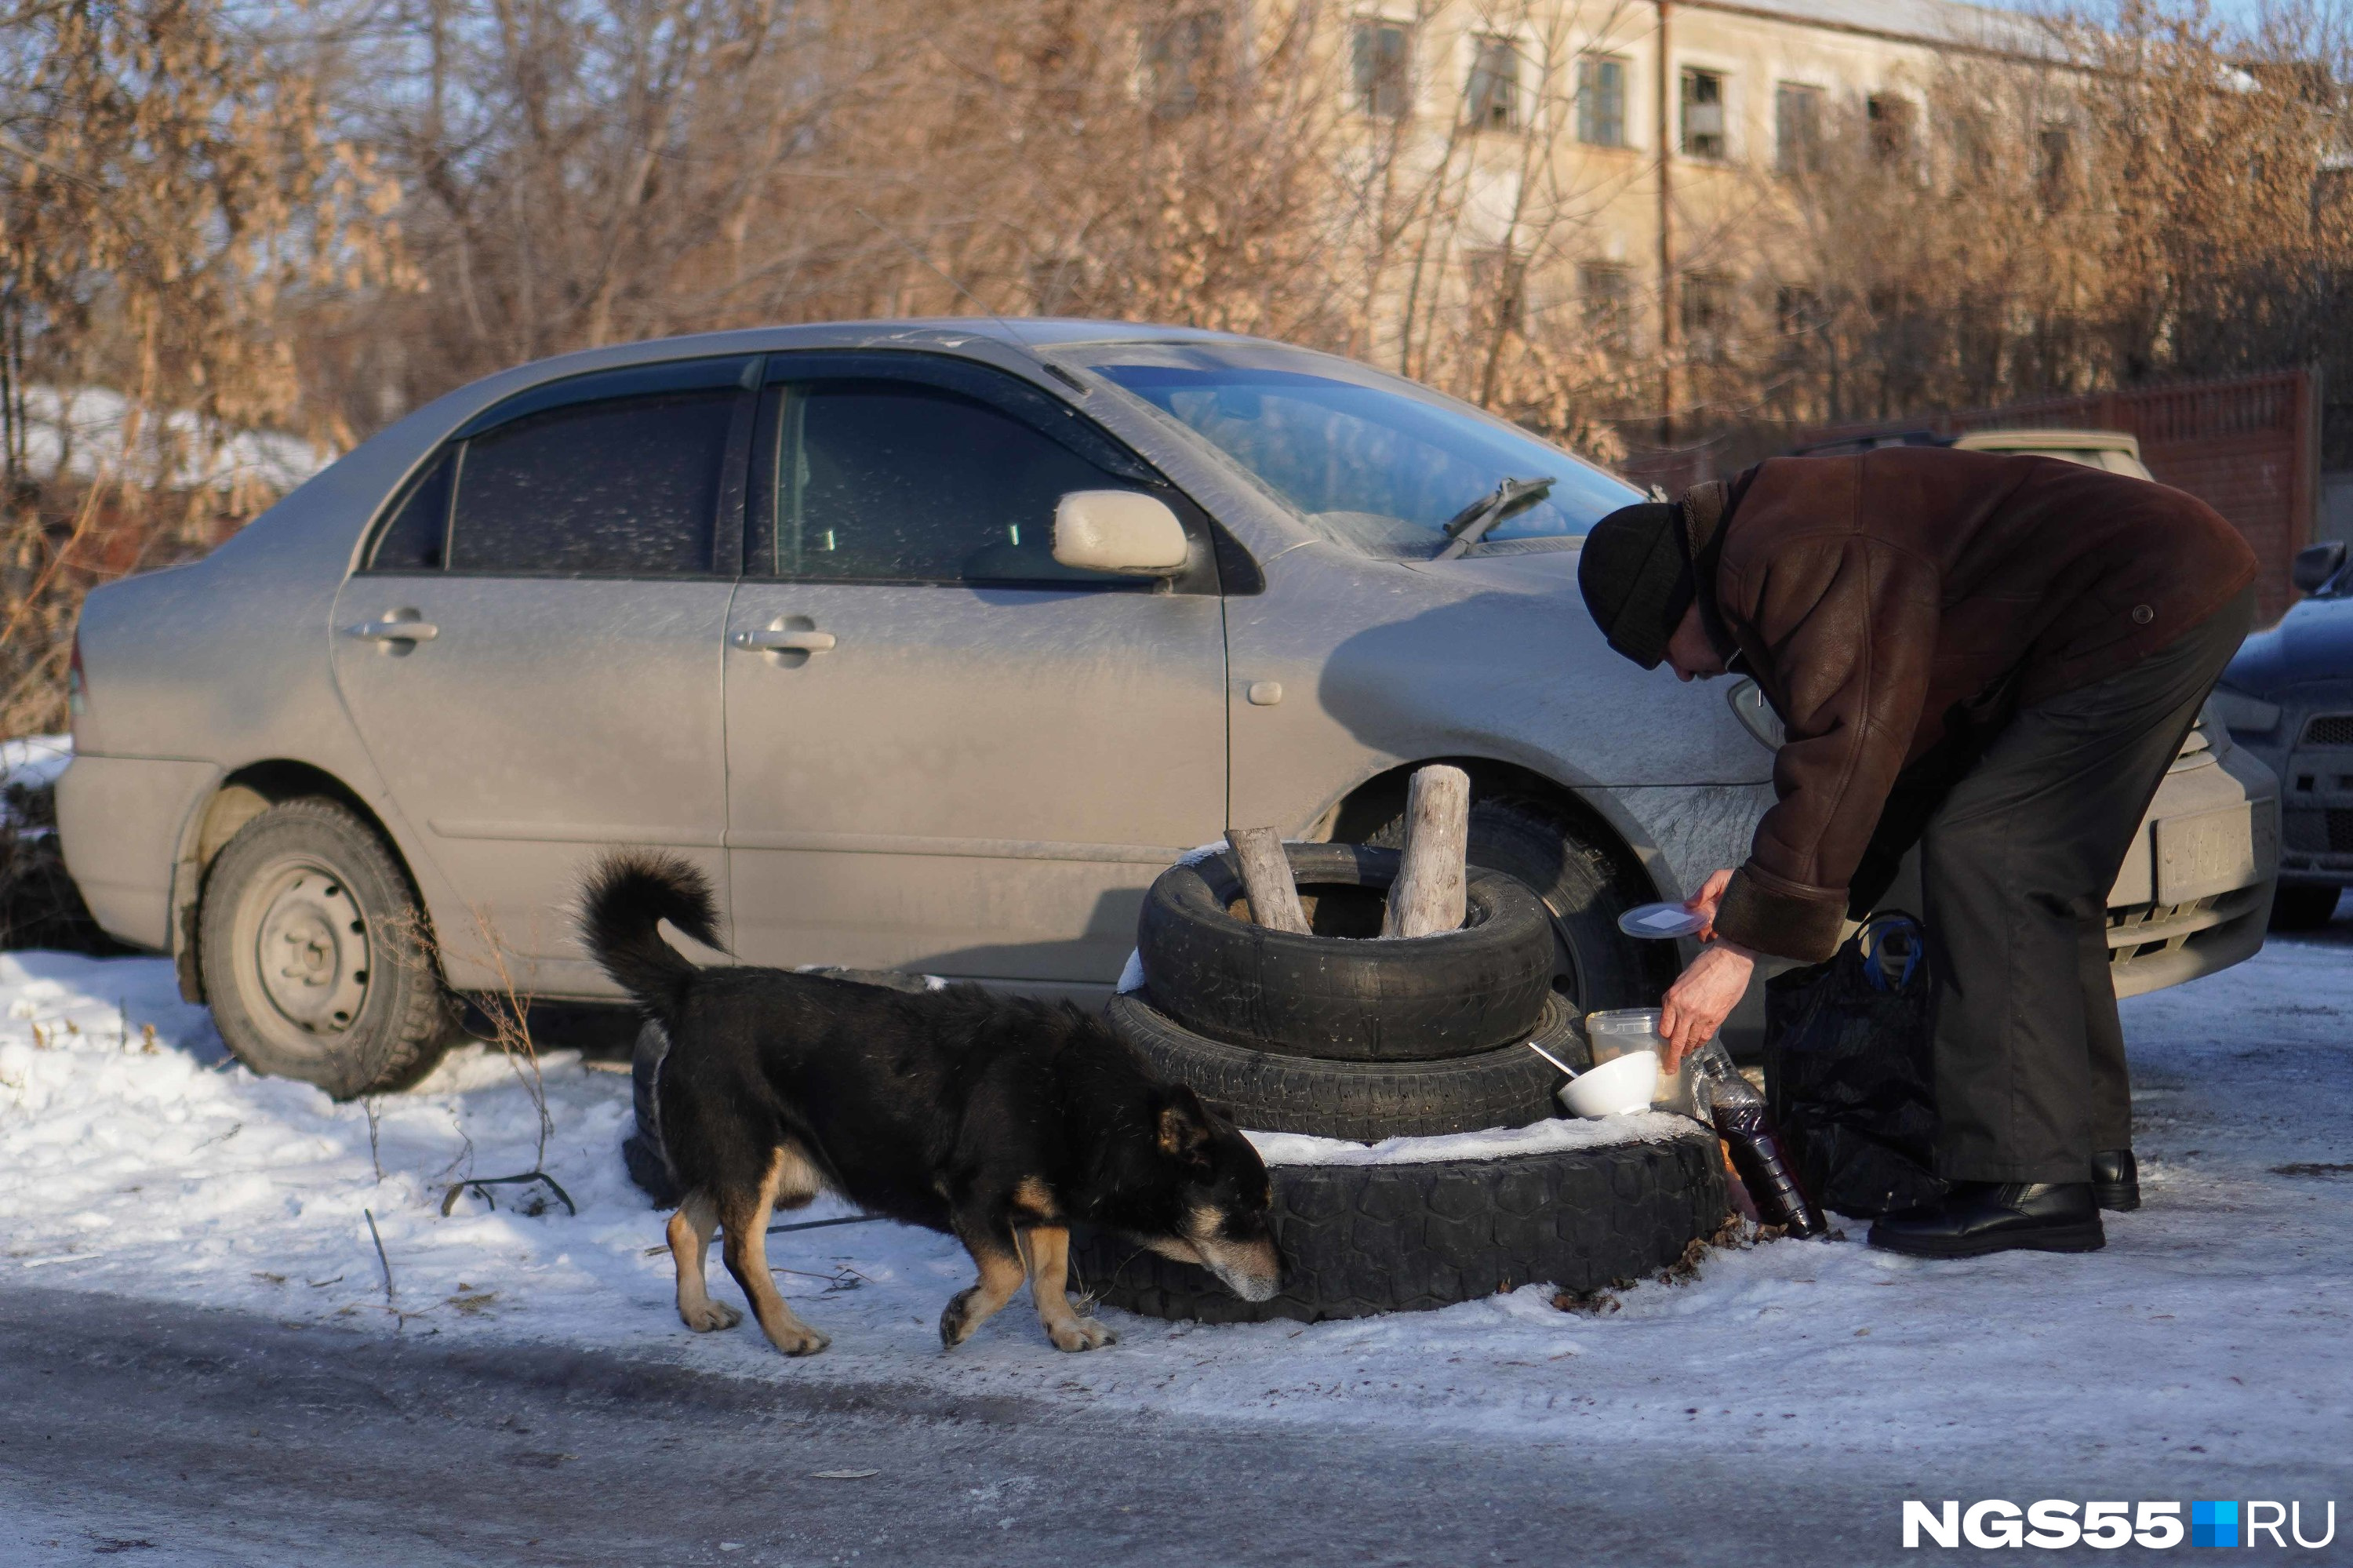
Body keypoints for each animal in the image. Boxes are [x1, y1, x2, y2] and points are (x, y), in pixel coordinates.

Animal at [579, 847, 1280, 1346]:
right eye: (1244, 1211)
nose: (1283, 1283)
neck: (1086, 1107)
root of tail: (693, 988)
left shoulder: (1045, 1210)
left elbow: (1050, 1274)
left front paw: (1064, 1328)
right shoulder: (973, 1198)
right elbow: (1009, 1272)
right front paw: (961, 1318)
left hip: (748, 1166)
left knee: (681, 1225)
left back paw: (696, 1311)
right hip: (752, 1162)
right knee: (739, 1251)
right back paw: (787, 1333)